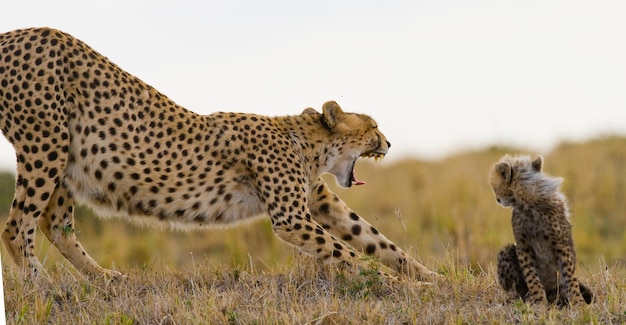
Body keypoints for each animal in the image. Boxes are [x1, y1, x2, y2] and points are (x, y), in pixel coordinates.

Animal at [0, 27, 438, 280]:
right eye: (374, 127)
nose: (388, 143)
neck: (306, 141)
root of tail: (18, 32)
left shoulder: (317, 201)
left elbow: (377, 241)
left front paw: (431, 280)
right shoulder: (292, 217)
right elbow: (346, 251)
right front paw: (390, 284)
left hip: (66, 157)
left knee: (54, 224)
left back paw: (105, 282)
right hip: (47, 143)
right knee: (17, 226)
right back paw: (49, 290)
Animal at [488, 154, 588, 304]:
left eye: (496, 187)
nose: (497, 199)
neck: (528, 205)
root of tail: (552, 292)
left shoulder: (561, 245)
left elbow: (570, 276)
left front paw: (578, 302)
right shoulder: (523, 246)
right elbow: (531, 275)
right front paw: (538, 300)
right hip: (507, 252)